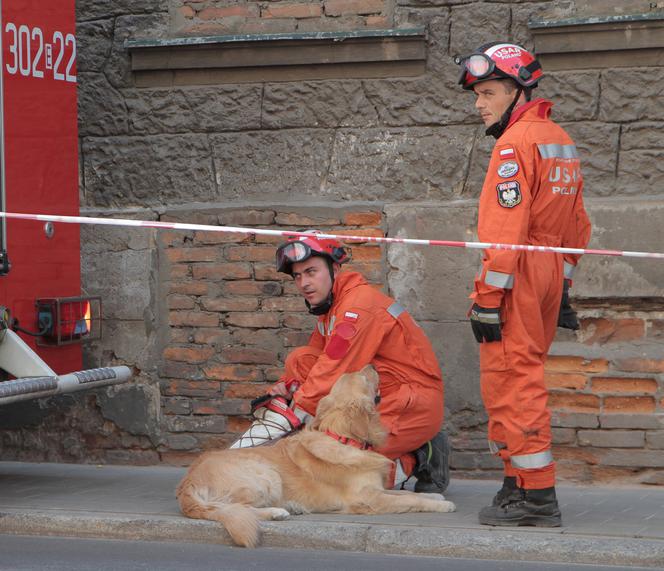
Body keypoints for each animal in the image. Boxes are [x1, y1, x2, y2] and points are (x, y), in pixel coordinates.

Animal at [176, 366, 456, 548]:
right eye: (363, 377)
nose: (372, 365)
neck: (343, 437)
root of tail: (187, 483)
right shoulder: (367, 499)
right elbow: (409, 500)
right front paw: (442, 505)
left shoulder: (376, 488)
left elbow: (407, 495)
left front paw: (435, 496)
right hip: (265, 475)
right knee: (235, 508)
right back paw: (278, 512)